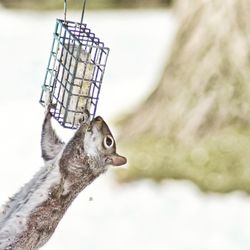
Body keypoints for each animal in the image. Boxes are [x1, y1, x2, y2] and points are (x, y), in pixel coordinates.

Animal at [0, 109, 126, 250]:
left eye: (108, 141)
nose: (98, 118)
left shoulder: (77, 166)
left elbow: (69, 154)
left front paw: (84, 122)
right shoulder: (56, 151)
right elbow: (48, 146)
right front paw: (49, 110)